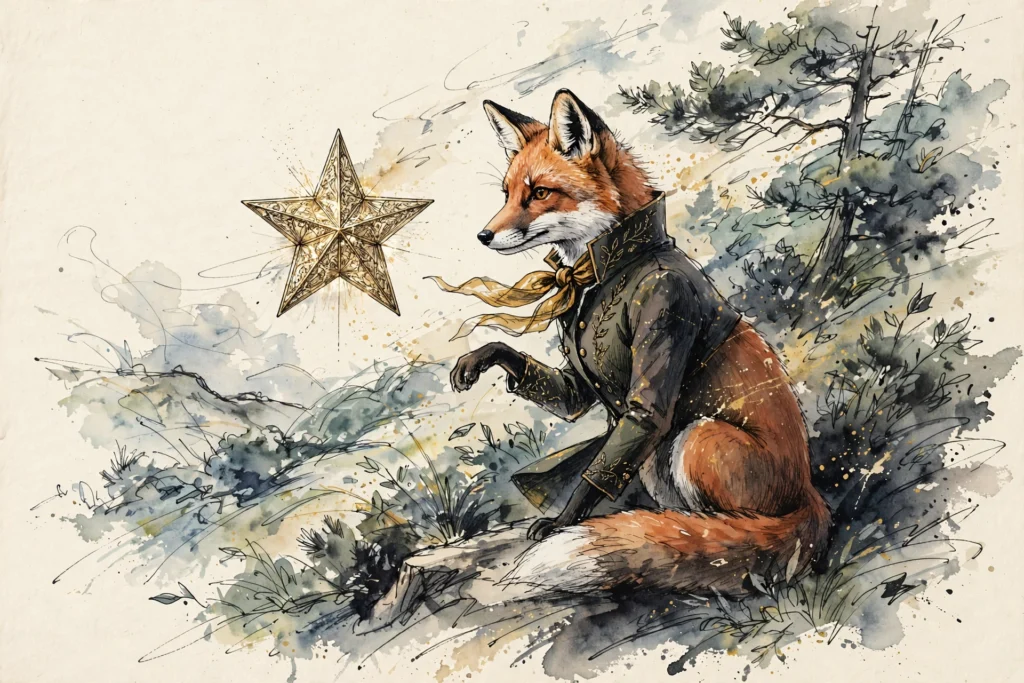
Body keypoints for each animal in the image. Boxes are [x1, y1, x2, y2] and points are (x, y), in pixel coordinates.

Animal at [447, 89, 831, 598]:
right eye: (507, 193)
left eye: (540, 192)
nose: (483, 235)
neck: (603, 270)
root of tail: (808, 494)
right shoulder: (581, 381)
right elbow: (567, 391)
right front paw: (485, 356)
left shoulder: (664, 318)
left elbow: (631, 428)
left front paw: (563, 522)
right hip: (657, 462)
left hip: (696, 439)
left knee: (732, 533)